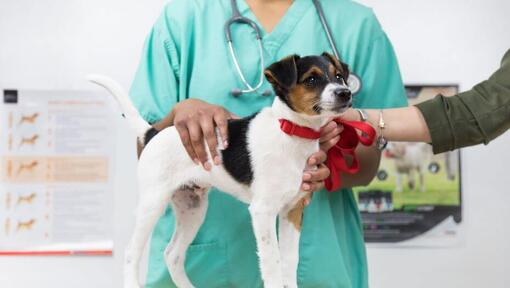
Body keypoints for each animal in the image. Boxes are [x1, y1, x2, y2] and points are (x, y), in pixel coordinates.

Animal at [89, 52, 352, 288]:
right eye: (311, 79)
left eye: (339, 76)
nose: (345, 92)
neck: (291, 131)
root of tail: (153, 132)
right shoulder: (263, 211)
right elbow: (273, 262)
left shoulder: (293, 209)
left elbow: (289, 261)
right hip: (153, 203)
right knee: (131, 253)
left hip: (192, 207)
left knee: (172, 254)